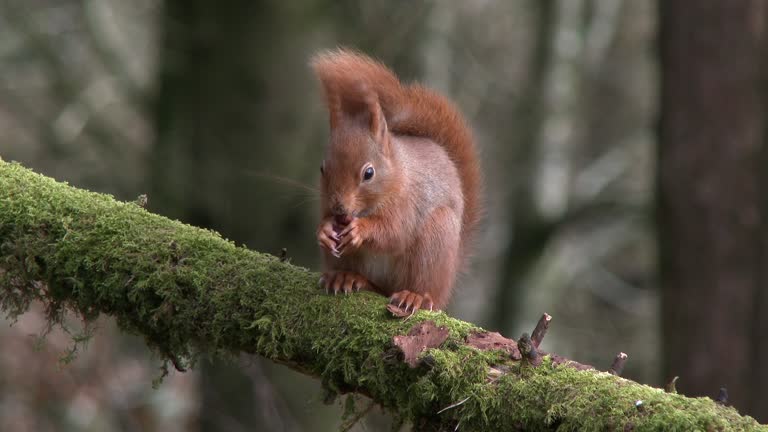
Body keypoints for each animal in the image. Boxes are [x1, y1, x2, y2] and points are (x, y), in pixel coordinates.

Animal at [310, 49, 480, 310]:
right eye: (322, 168)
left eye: (369, 173)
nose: (339, 209)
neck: (397, 173)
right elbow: (324, 220)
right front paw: (325, 229)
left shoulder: (407, 203)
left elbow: (395, 233)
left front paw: (361, 229)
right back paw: (346, 277)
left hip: (435, 242)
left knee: (421, 289)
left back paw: (414, 296)